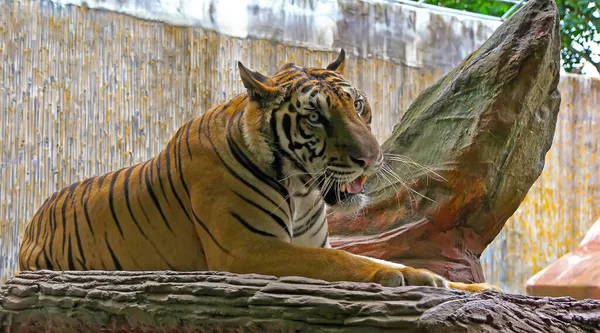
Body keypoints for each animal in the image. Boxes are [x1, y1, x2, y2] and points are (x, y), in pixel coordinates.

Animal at [18, 48, 500, 290]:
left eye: (359, 105)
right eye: (315, 117)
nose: (371, 158)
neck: (303, 189)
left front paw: (477, 288)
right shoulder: (247, 248)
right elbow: (345, 259)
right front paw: (410, 274)